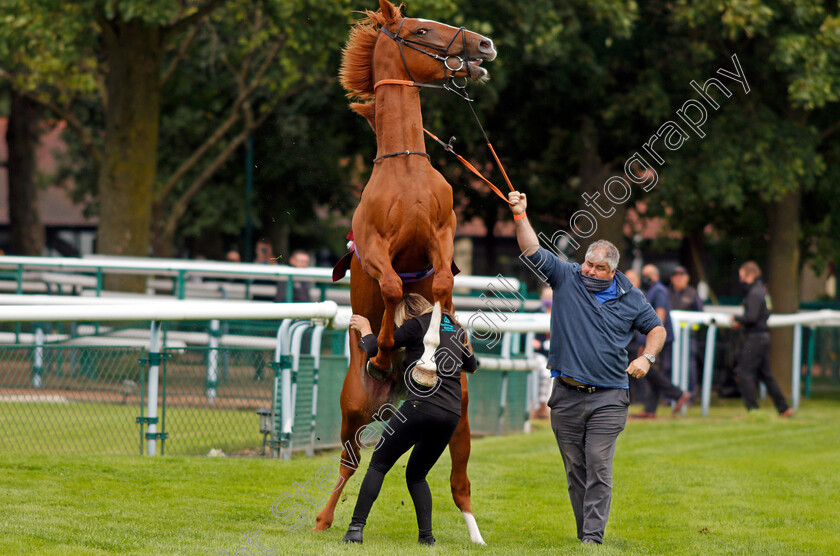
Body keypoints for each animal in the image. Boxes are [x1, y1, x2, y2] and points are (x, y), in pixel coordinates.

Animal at [316, 0, 498, 544]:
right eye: (420, 31)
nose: (483, 45)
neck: (405, 169)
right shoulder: (378, 247)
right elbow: (395, 286)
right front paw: (390, 350)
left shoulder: (443, 234)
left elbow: (439, 285)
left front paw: (430, 350)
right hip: (353, 408)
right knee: (350, 463)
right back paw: (324, 518)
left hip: (460, 425)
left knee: (457, 480)